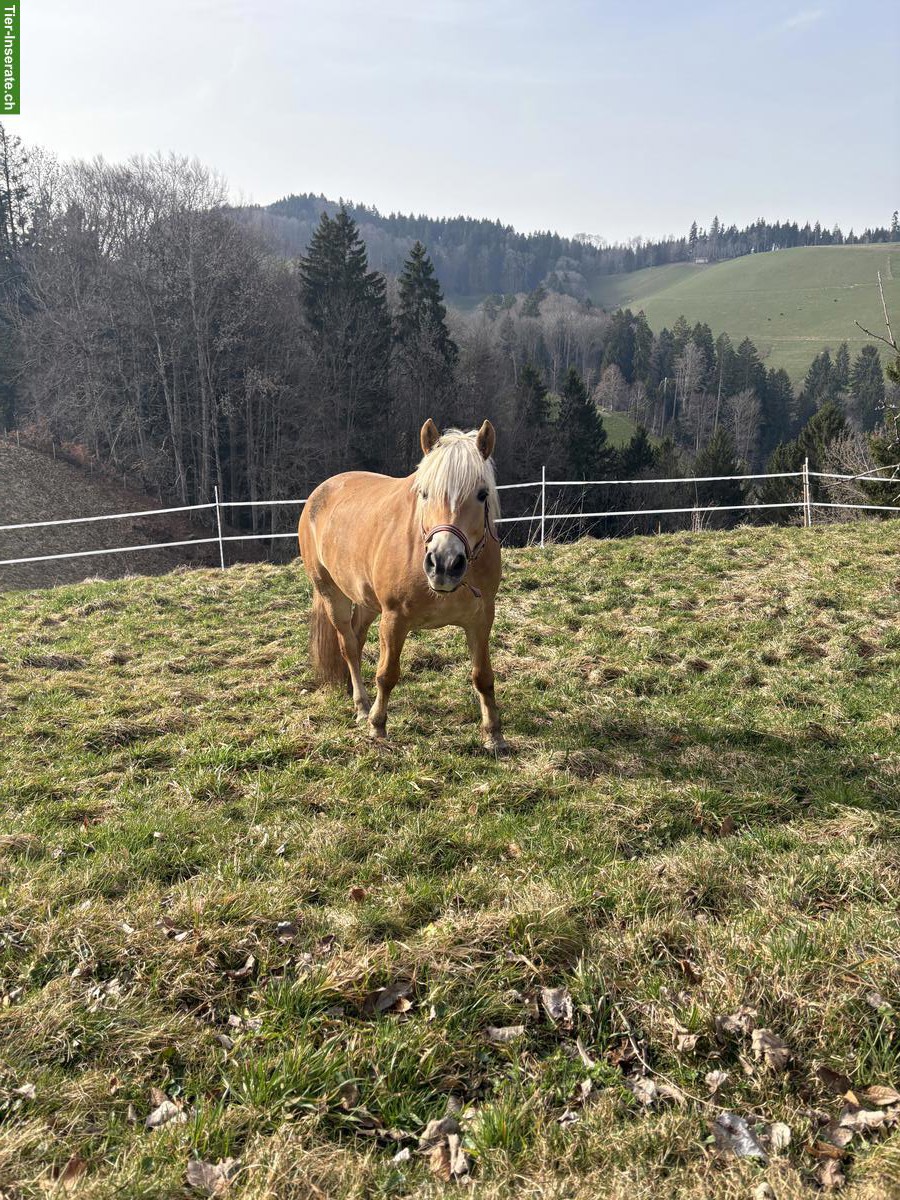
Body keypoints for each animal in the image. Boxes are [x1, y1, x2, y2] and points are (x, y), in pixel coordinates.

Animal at [297, 419, 506, 750]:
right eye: (425, 493)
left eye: (482, 494)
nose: (444, 564)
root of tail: (320, 492)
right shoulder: (394, 619)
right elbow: (387, 674)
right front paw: (377, 726)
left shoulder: (482, 618)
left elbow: (482, 676)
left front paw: (494, 734)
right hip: (331, 593)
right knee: (348, 646)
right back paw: (361, 706)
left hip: (367, 602)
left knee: (357, 637)